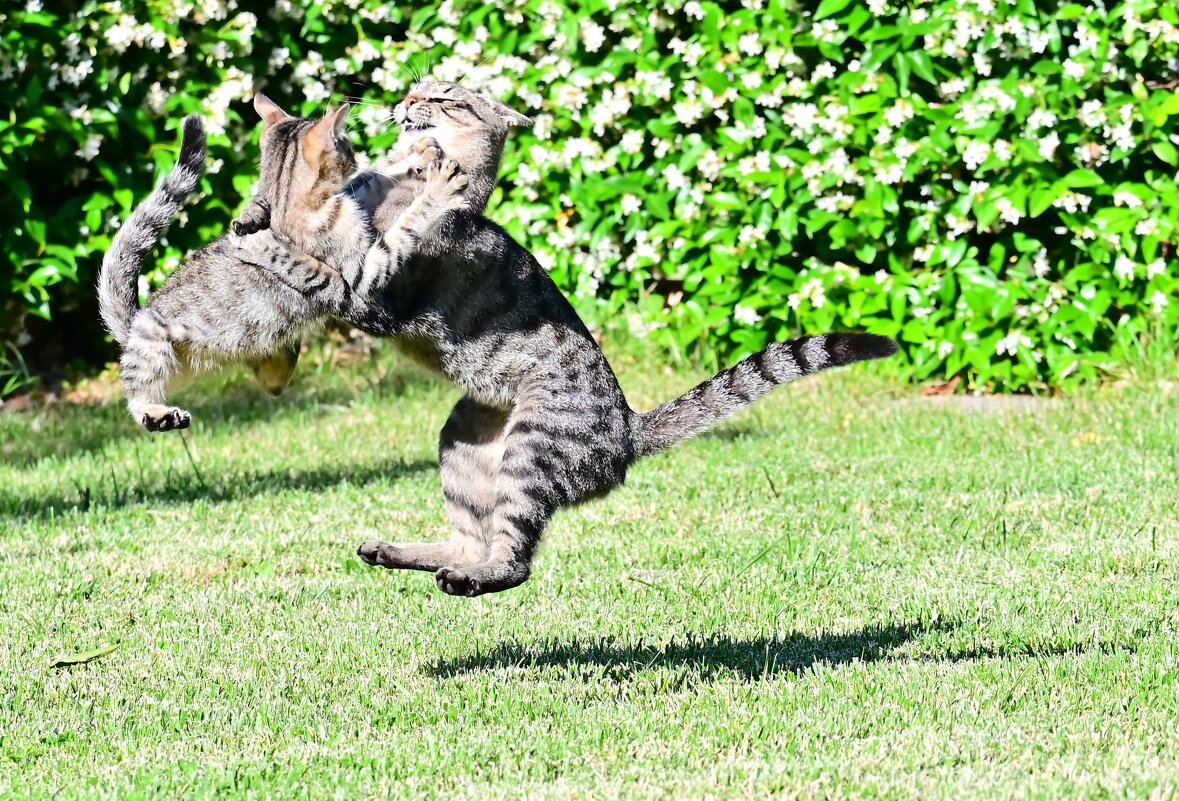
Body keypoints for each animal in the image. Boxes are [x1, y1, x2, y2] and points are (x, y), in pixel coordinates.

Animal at [97, 98, 464, 431]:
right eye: (346, 145)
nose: (356, 154)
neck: (287, 199)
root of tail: (134, 320)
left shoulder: (354, 199)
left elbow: (377, 176)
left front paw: (419, 154)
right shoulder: (366, 268)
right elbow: (406, 224)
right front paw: (437, 188)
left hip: (280, 361)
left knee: (271, 384)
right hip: (153, 347)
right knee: (136, 395)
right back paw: (157, 414)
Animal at [244, 81, 896, 594]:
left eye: (444, 96)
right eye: (415, 86)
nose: (402, 98)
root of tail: (629, 429)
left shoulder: (371, 292)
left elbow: (381, 235)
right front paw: (257, 215)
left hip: (528, 449)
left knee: (511, 559)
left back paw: (468, 580)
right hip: (460, 439)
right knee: (470, 542)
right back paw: (395, 552)